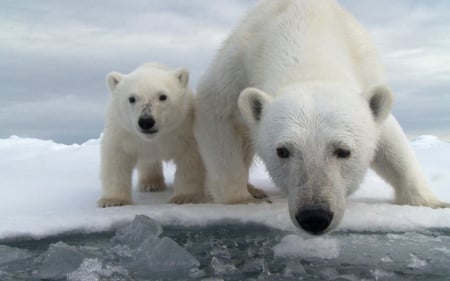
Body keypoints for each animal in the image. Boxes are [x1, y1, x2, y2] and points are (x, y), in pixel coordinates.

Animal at [98, 64, 206, 208]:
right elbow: (116, 159)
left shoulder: (183, 129)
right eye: (131, 98)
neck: (155, 138)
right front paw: (112, 201)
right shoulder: (123, 132)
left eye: (163, 96)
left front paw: (185, 197)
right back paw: (151, 184)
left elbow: (190, 159)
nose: (146, 121)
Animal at [194, 0, 450, 233]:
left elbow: (392, 142)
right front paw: (240, 199)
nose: (314, 216)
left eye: (344, 151)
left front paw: (433, 203)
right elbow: (216, 115)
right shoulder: (237, 65)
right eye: (282, 151)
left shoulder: (366, 71)